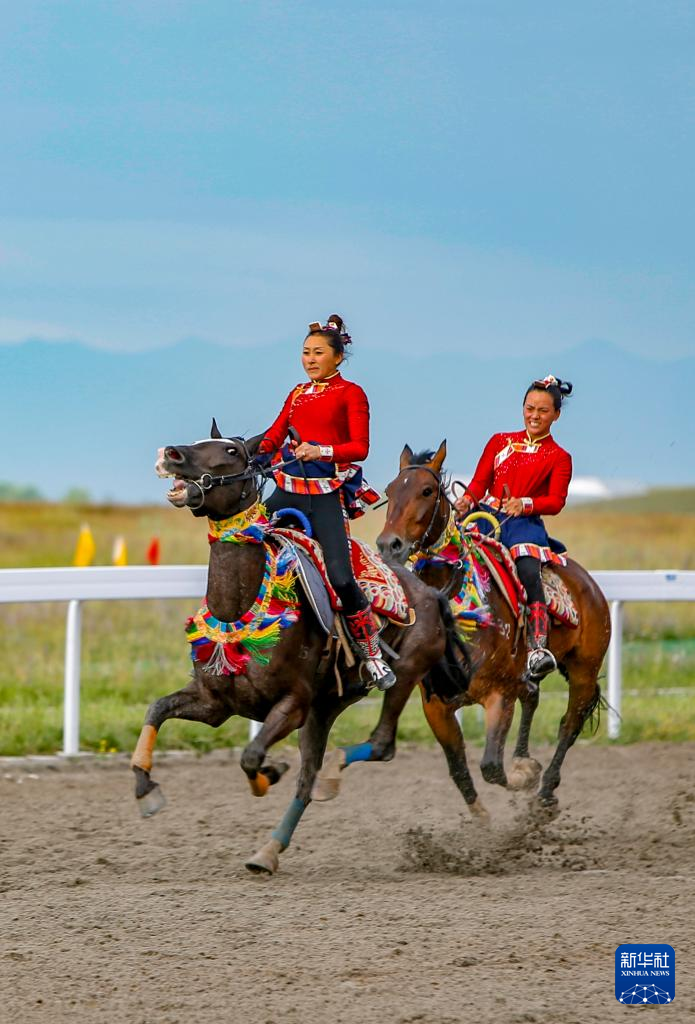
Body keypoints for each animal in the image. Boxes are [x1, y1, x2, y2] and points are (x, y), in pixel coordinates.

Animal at [130, 421, 470, 872]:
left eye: (231, 452)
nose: (172, 454)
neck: (241, 604)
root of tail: (431, 593)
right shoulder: (215, 702)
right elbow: (156, 709)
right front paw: (144, 786)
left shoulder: (293, 705)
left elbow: (250, 756)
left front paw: (269, 773)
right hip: (328, 706)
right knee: (308, 779)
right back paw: (268, 851)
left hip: (403, 674)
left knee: (378, 744)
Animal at [317, 440, 610, 815]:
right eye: (390, 490)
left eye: (427, 491)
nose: (389, 545)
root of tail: (588, 584)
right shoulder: (437, 706)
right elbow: (460, 769)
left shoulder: (499, 694)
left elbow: (491, 767)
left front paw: (527, 778)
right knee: (533, 696)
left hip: (584, 671)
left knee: (568, 726)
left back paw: (545, 793)